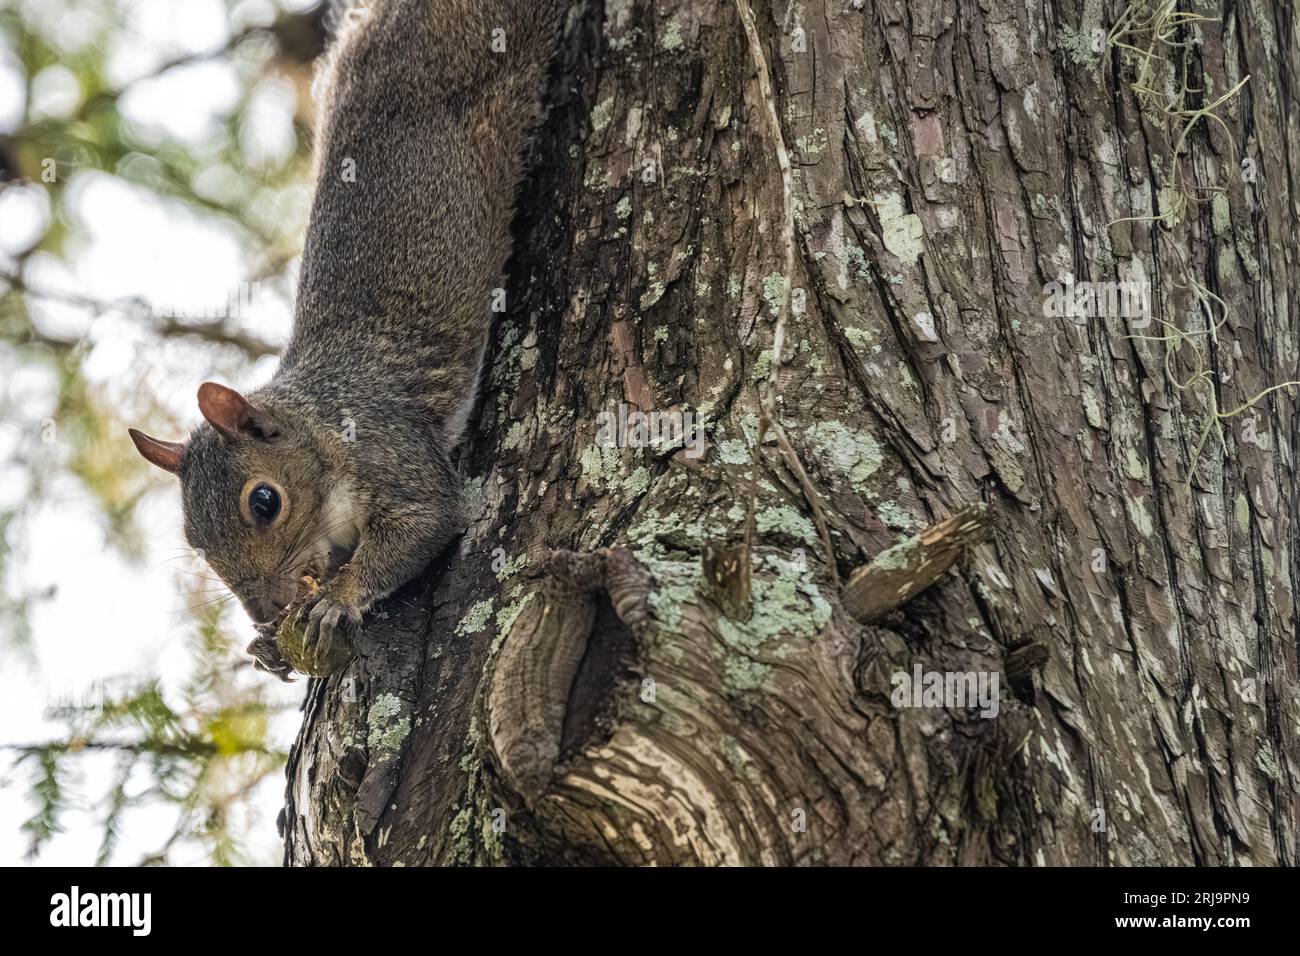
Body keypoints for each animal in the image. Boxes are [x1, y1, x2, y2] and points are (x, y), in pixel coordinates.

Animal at [129, 0, 569, 664]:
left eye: (265, 502)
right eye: (193, 537)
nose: (264, 611)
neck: (318, 422)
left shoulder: (388, 443)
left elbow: (425, 521)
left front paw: (339, 597)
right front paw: (269, 644)